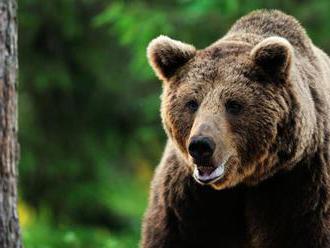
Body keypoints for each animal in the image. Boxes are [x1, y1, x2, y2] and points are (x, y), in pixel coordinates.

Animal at [141, 9, 330, 248]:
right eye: (192, 103)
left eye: (233, 104)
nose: (201, 146)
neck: (244, 181)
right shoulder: (187, 199)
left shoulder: (301, 183)